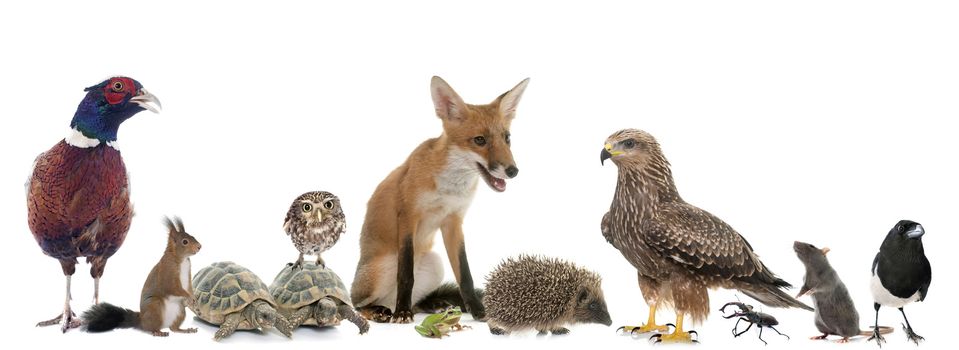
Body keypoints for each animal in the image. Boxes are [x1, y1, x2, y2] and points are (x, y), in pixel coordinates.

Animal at [352, 76, 528, 322]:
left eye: (507, 138)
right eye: (480, 140)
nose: (513, 171)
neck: (448, 190)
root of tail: (387, 301)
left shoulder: (453, 221)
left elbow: (465, 275)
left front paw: (477, 310)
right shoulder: (408, 215)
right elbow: (405, 274)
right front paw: (402, 313)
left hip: (435, 264)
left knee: (417, 302)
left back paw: (430, 305)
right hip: (381, 270)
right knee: (354, 303)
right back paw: (383, 311)